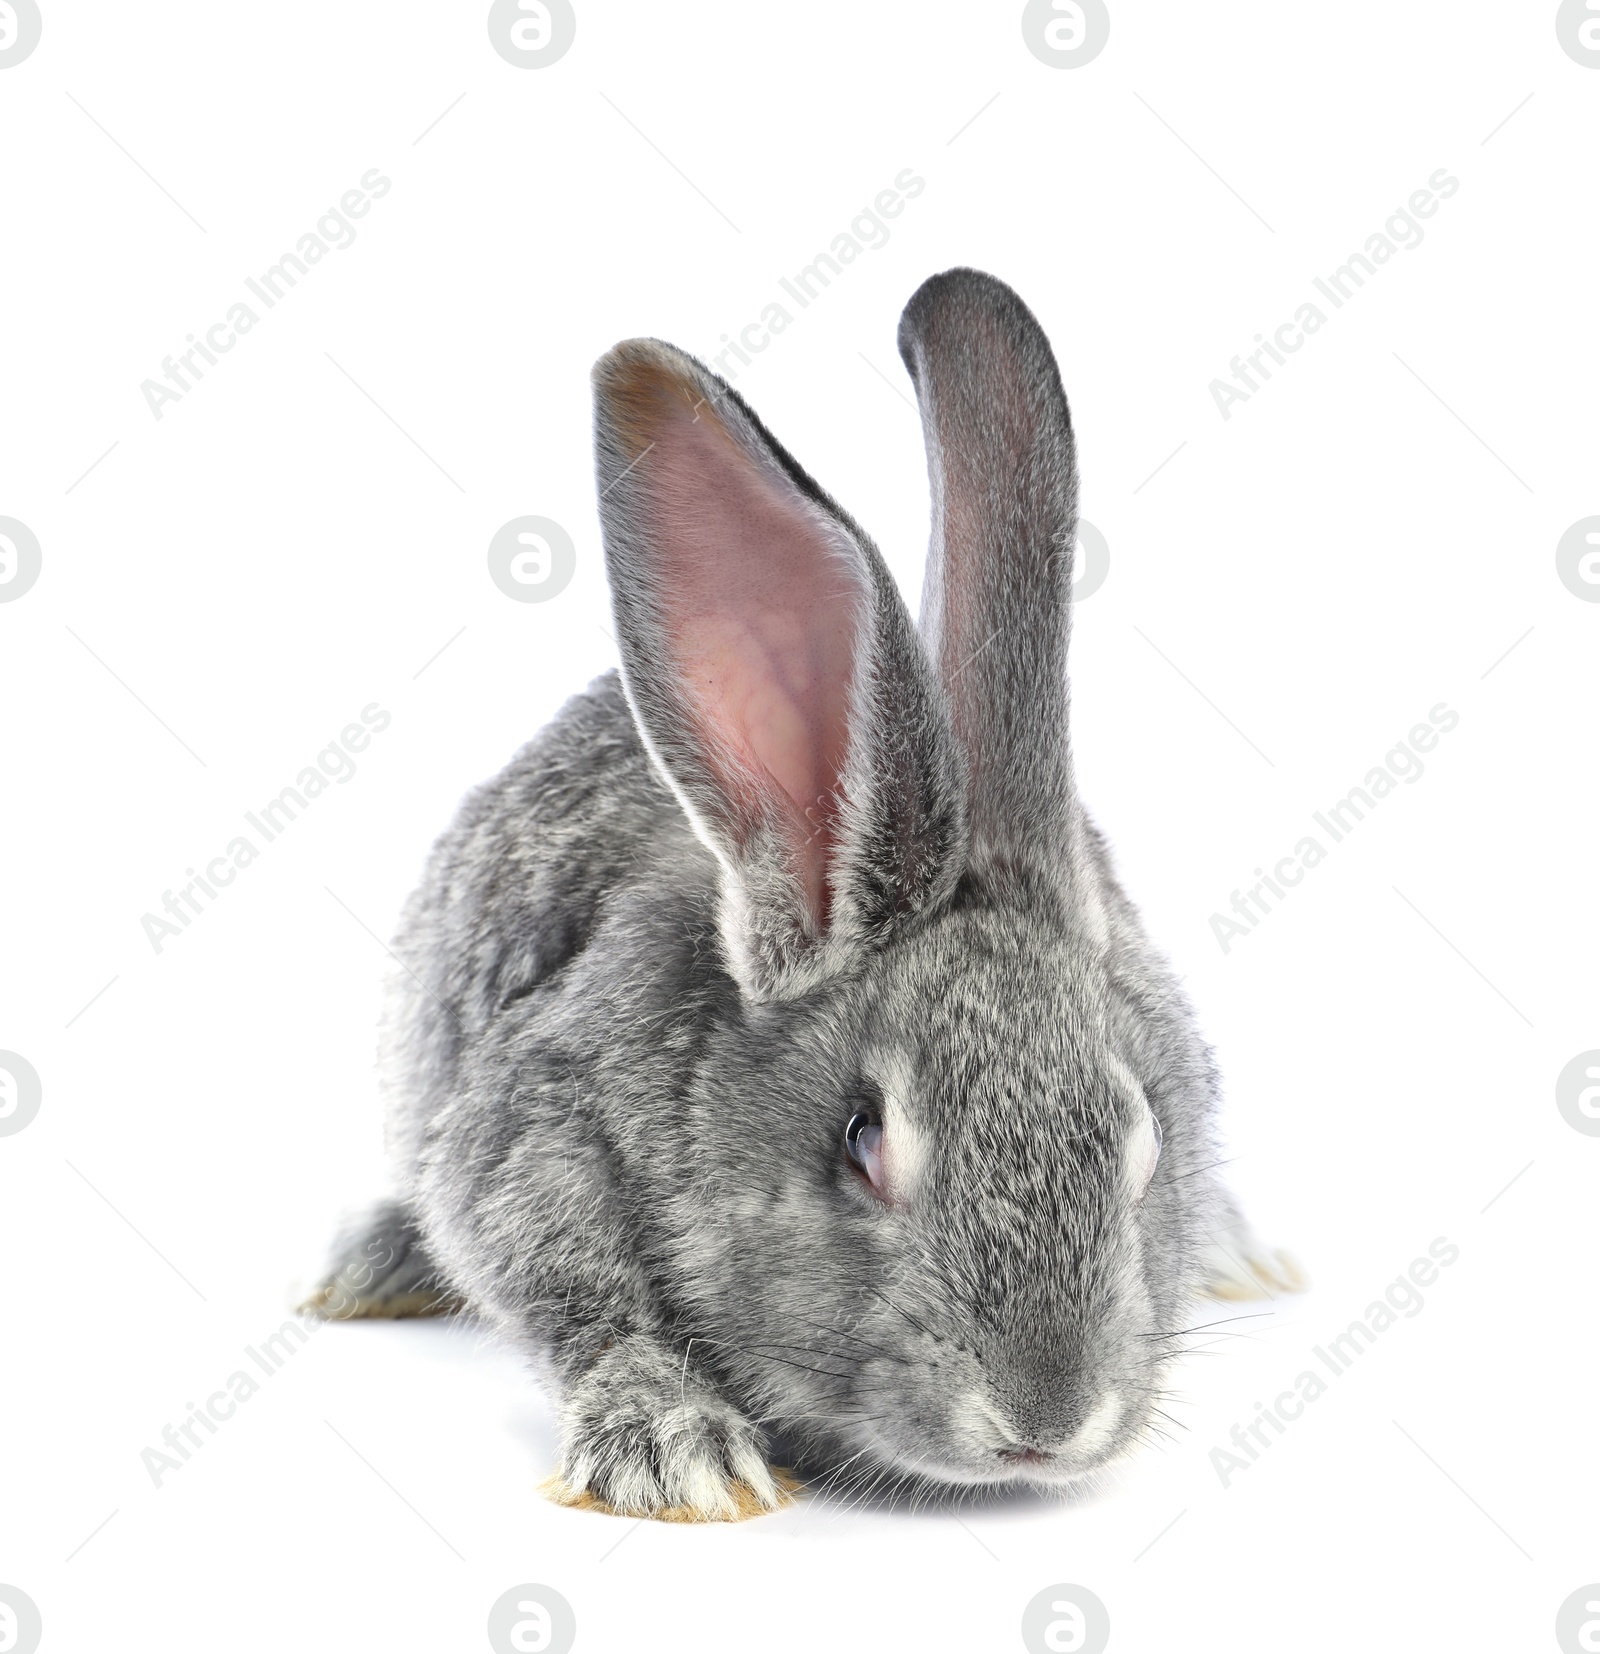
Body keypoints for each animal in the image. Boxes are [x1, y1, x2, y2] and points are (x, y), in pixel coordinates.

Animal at [306, 271, 1310, 1521]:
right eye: (860, 1138)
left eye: (1143, 1137)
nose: (1043, 1421)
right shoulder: (528, 1134)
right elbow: (573, 1296)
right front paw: (671, 1444)